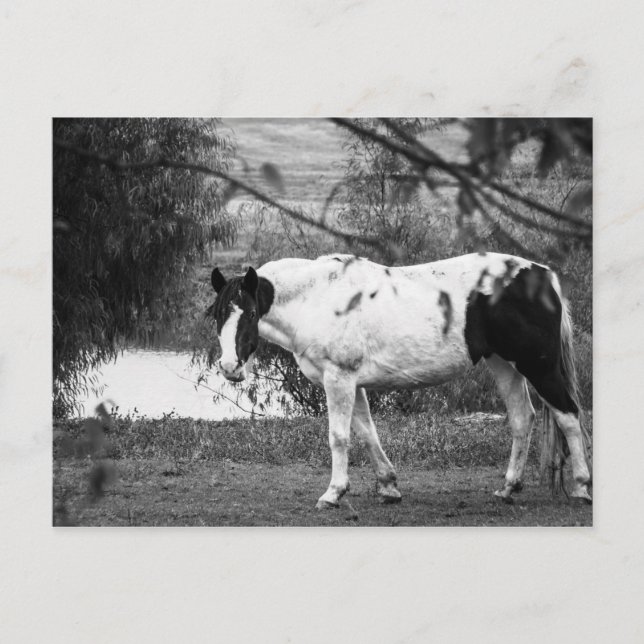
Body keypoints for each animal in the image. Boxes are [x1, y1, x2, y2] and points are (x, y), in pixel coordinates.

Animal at [207, 252, 592, 509]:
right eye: (217, 314)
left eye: (251, 313)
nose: (229, 367)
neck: (318, 297)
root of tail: (543, 275)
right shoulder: (353, 383)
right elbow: (367, 433)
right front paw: (388, 486)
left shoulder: (339, 379)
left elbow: (339, 437)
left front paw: (333, 493)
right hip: (504, 365)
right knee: (522, 419)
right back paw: (509, 488)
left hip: (539, 368)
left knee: (569, 416)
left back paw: (581, 486)